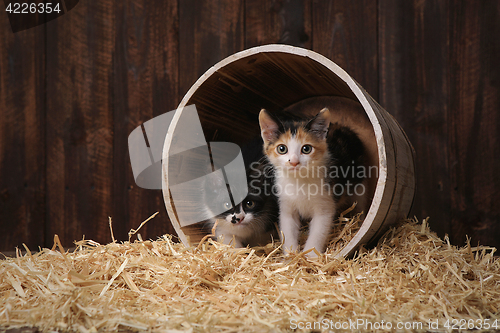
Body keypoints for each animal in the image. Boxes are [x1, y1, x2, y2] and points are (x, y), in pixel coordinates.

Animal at [260, 107, 366, 255]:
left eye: (306, 149)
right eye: (282, 149)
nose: (294, 162)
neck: (299, 181)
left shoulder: (325, 205)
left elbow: (318, 233)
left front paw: (310, 256)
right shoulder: (286, 206)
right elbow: (288, 231)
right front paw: (291, 256)